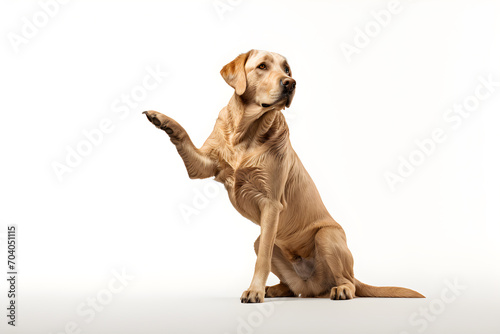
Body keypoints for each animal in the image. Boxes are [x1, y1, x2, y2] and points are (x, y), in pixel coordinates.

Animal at [143, 49, 424, 302]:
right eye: (262, 66)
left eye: (286, 69)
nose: (290, 83)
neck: (247, 131)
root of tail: (312, 286)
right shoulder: (204, 165)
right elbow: (183, 135)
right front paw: (162, 119)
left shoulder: (271, 203)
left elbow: (263, 261)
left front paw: (254, 291)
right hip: (261, 242)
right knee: (292, 286)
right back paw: (277, 289)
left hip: (326, 236)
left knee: (347, 282)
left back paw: (340, 290)